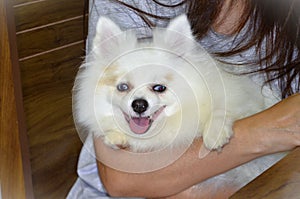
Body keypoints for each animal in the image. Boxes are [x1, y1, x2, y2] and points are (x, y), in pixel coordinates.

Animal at [72, 14, 286, 190]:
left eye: (159, 88)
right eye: (123, 87)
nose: (139, 104)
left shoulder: (245, 100)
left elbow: (221, 108)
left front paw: (214, 133)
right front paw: (115, 137)